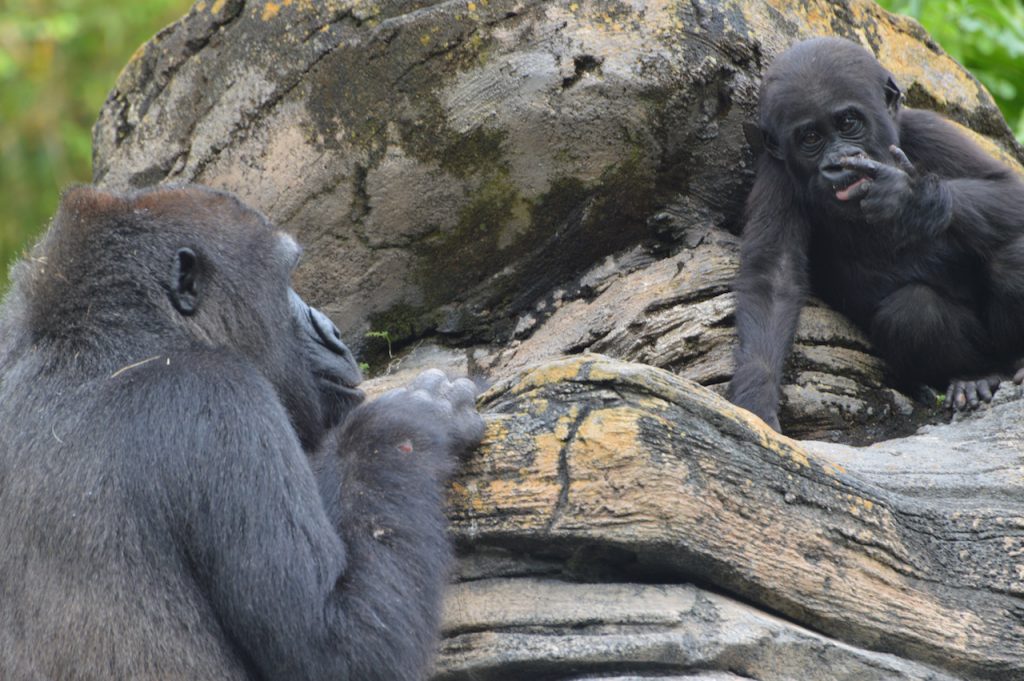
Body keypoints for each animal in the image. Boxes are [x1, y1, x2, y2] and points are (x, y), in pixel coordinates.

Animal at [0, 184, 483, 679]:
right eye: (286, 278)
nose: (331, 330)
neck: (99, 335)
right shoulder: (223, 398)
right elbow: (341, 648)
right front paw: (415, 418)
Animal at [729, 35, 1024, 430]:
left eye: (848, 122)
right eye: (811, 137)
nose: (840, 161)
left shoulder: (929, 130)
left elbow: (1009, 189)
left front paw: (911, 198)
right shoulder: (775, 175)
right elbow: (773, 278)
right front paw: (755, 397)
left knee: (1012, 257)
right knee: (914, 313)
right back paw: (973, 376)